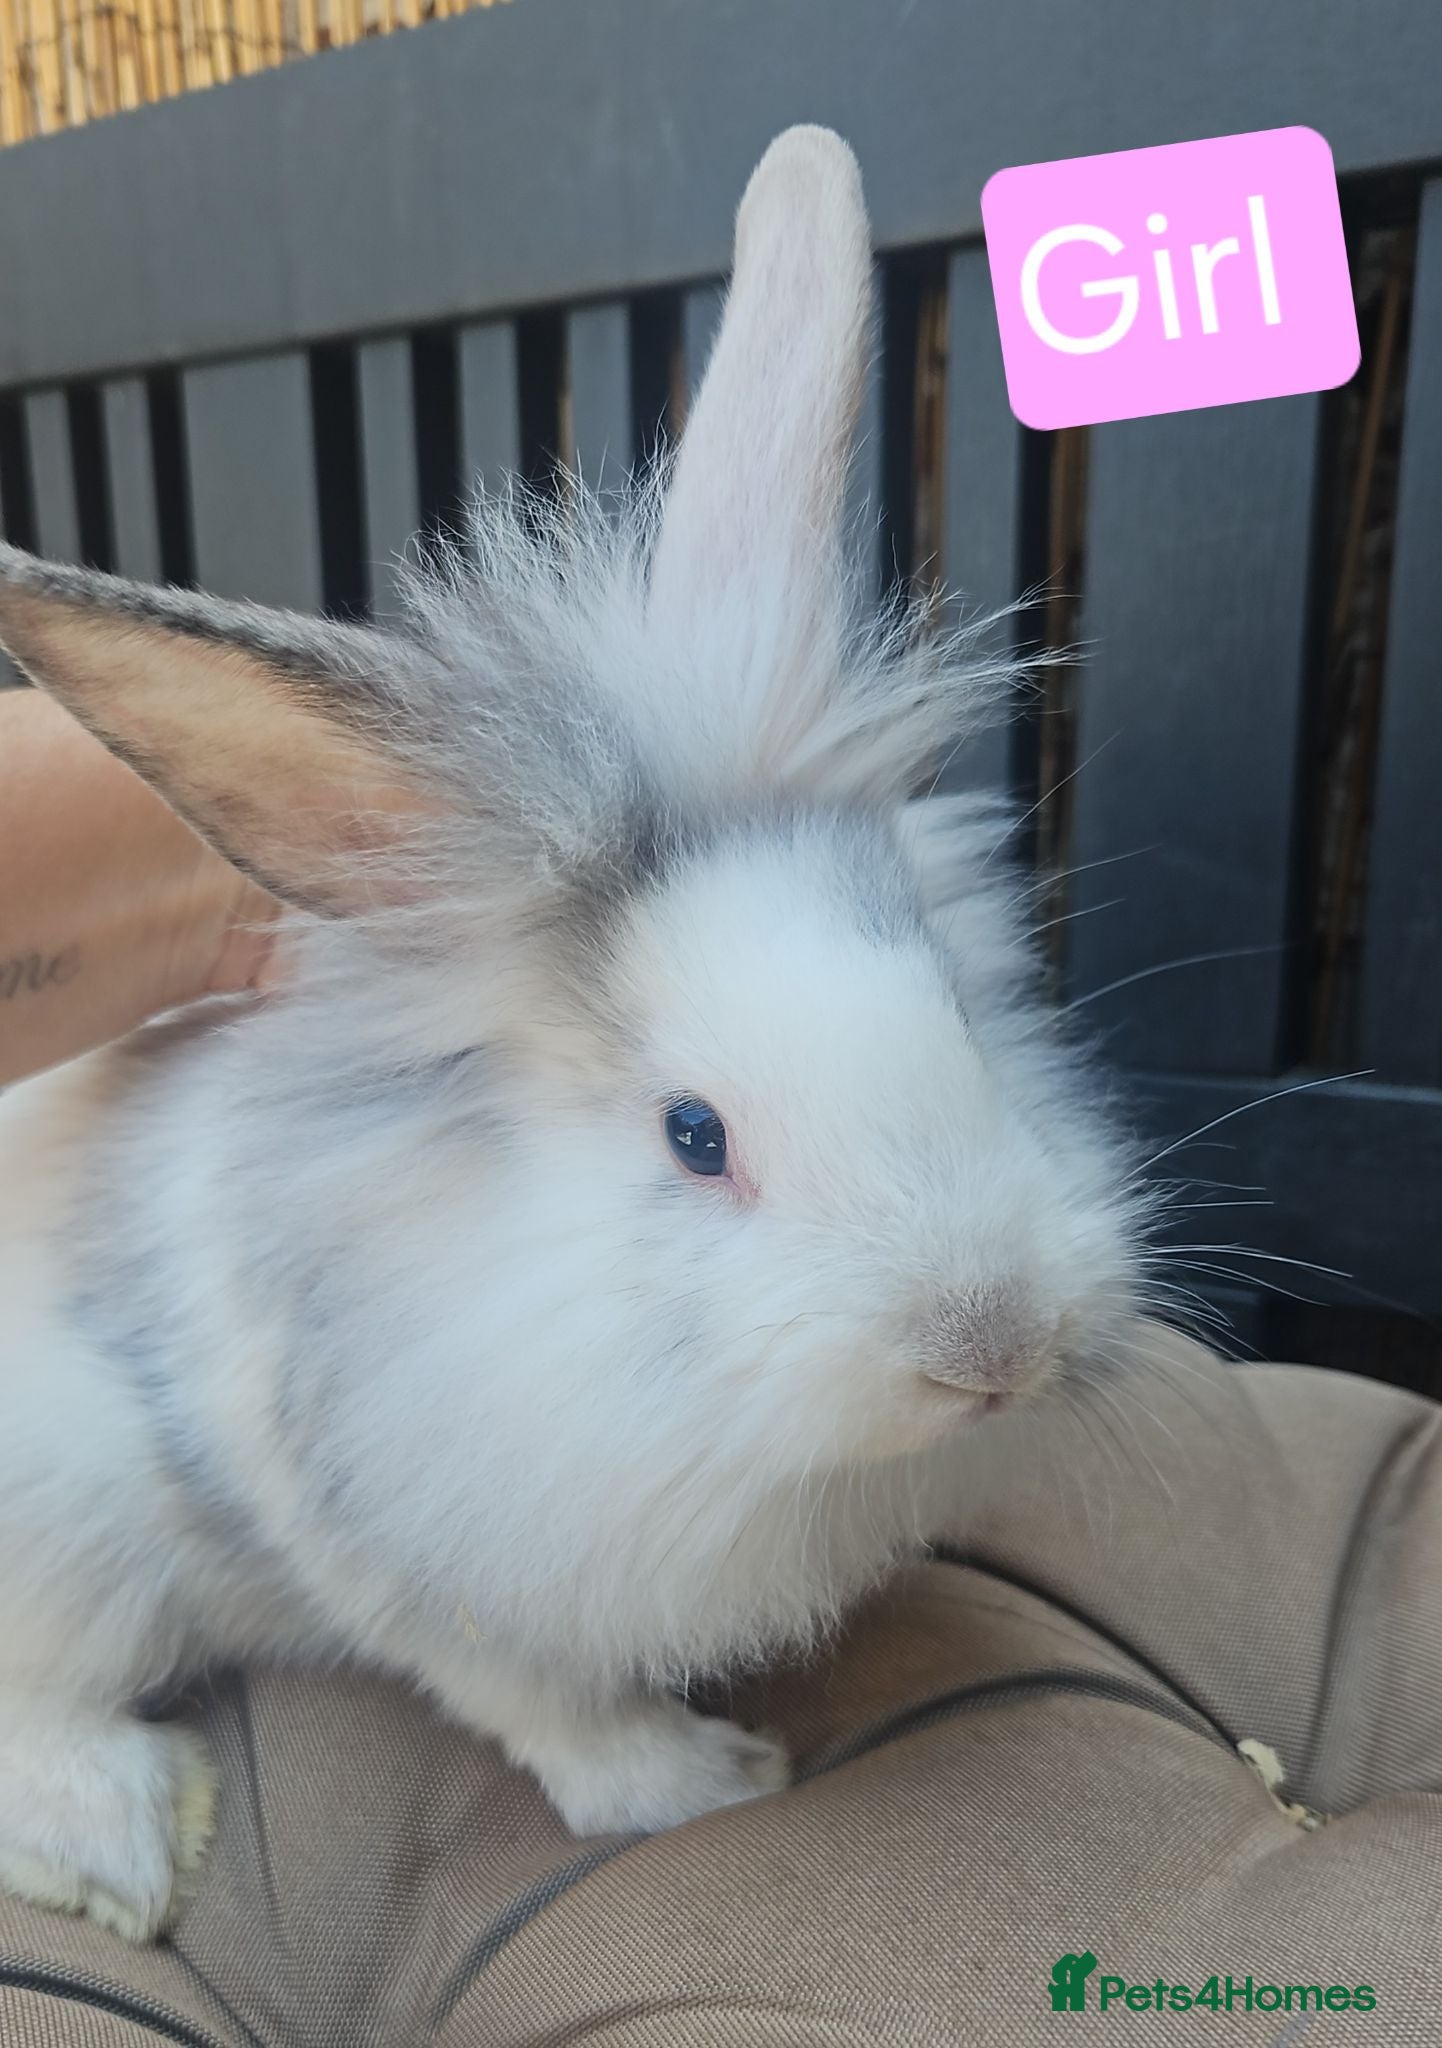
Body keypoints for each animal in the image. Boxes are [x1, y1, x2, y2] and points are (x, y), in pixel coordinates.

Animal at [0, 125, 1143, 1942]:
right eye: (693, 1135)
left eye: (959, 1016)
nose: (988, 1346)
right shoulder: (388, 1548)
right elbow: (534, 1695)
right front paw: (703, 1782)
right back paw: (120, 1837)